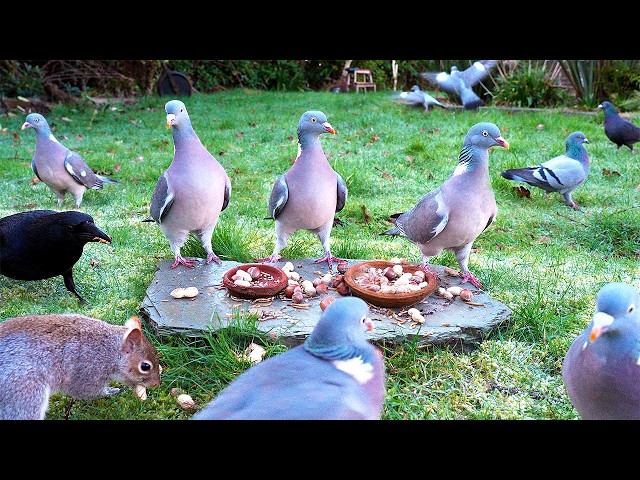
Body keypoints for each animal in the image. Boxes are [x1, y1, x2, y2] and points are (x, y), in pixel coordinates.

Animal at [0, 314, 162, 420]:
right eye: (145, 366)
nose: (156, 384)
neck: (110, 350)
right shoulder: (88, 370)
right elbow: (89, 391)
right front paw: (112, 391)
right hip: (25, 393)